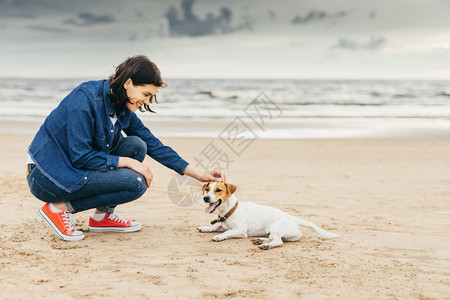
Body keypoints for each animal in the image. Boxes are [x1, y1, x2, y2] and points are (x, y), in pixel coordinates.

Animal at [197, 182, 338, 250]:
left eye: (218, 190)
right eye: (207, 189)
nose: (205, 198)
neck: (230, 210)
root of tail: (294, 219)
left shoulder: (240, 231)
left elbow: (226, 232)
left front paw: (219, 237)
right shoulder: (223, 224)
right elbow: (215, 227)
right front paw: (205, 228)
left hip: (276, 228)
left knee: (278, 241)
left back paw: (265, 245)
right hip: (273, 231)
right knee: (274, 238)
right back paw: (260, 240)